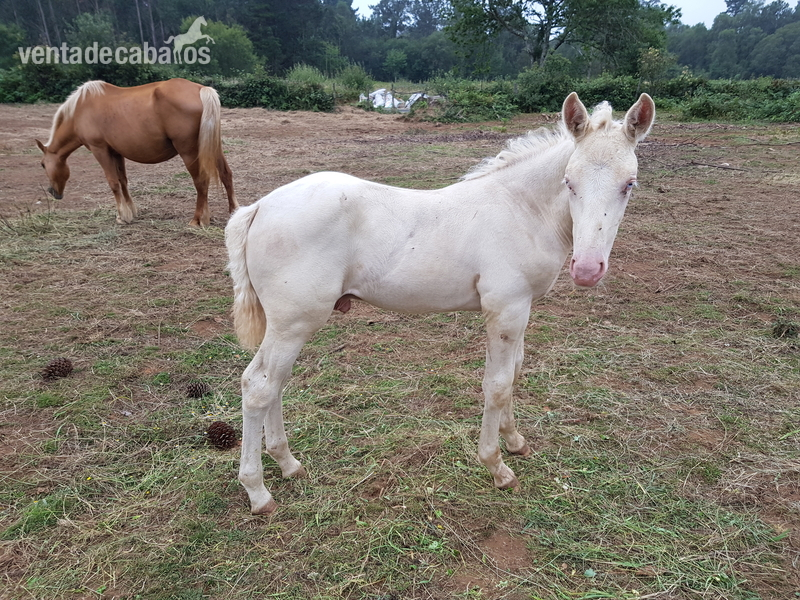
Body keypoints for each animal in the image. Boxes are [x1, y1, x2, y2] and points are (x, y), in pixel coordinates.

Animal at [36, 78, 236, 227]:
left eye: (43, 165)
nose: (53, 192)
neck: (81, 109)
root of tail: (202, 89)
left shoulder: (100, 150)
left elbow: (113, 183)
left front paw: (121, 217)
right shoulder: (116, 153)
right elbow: (123, 181)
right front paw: (131, 211)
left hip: (189, 152)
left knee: (201, 182)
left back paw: (196, 220)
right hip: (213, 148)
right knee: (226, 174)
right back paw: (232, 212)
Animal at [225, 92, 655, 514]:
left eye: (629, 184)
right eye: (569, 182)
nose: (587, 269)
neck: (521, 210)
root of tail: (259, 207)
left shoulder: (522, 308)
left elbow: (515, 372)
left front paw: (515, 441)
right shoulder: (505, 309)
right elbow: (497, 384)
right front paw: (497, 466)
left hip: (287, 326)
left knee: (274, 383)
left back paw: (288, 464)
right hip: (293, 323)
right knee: (259, 387)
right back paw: (258, 491)